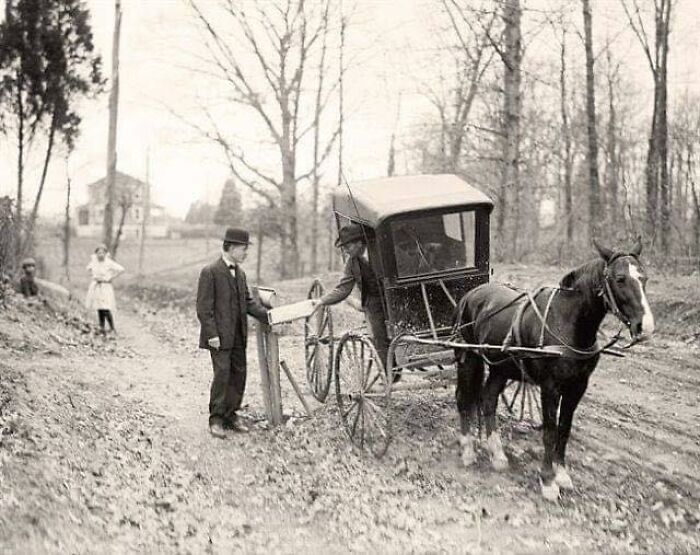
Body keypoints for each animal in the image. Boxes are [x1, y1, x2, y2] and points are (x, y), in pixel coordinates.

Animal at [452, 241, 652, 502]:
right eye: (620, 278)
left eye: (644, 277)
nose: (645, 327)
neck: (566, 322)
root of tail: (469, 295)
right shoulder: (550, 387)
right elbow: (549, 431)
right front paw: (548, 480)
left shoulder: (578, 387)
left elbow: (564, 429)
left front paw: (562, 474)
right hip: (468, 358)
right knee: (464, 399)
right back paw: (467, 450)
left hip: (501, 366)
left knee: (488, 399)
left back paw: (497, 454)